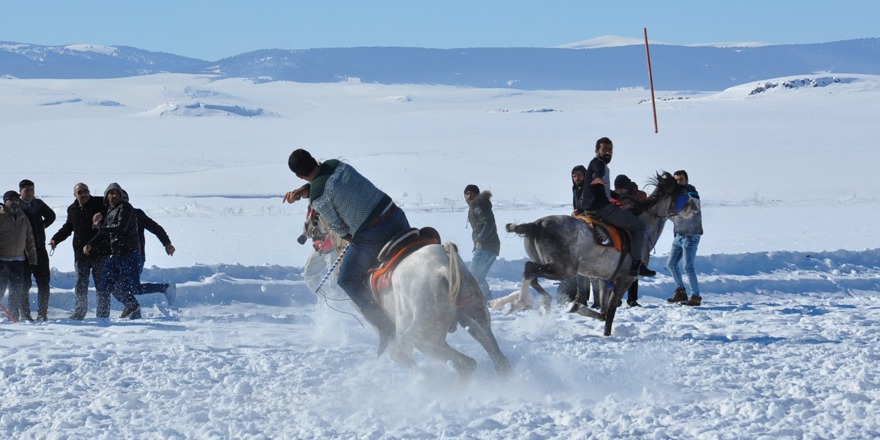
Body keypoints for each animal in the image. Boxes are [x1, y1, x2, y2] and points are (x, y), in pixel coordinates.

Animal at [488, 170, 696, 336]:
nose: (694, 206)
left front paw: (575, 307)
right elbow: (609, 312)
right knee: (529, 269)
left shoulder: (605, 281)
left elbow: (603, 312)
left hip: (552, 265)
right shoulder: (624, 280)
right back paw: (520, 302)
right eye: (683, 192)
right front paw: (605, 332)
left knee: (532, 276)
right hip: (563, 269)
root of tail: (535, 225)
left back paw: (543, 302)